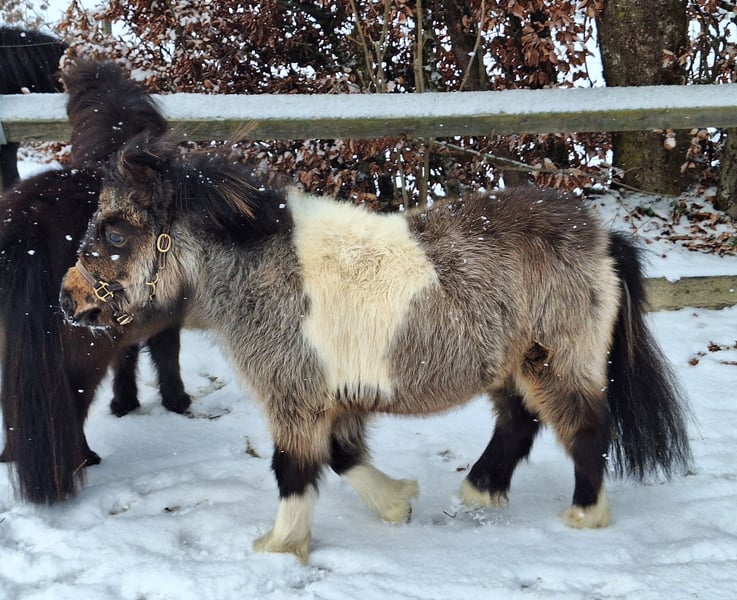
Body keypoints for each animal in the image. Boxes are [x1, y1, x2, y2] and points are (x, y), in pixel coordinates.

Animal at [0, 61, 191, 505]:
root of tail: (27, 222)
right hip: (81, 349)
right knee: (71, 402)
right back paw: (82, 460)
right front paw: (176, 402)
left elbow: (130, 355)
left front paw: (126, 402)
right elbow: (165, 352)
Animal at [59, 136, 692, 563]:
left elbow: (293, 469)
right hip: (513, 364)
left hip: (556, 361)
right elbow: (341, 457)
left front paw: (280, 544)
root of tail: (602, 238)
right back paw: (481, 491)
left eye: (114, 234)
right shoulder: (333, 396)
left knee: (584, 429)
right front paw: (396, 504)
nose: (68, 299)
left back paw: (585, 514)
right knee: (518, 423)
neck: (264, 268)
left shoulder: (295, 396)